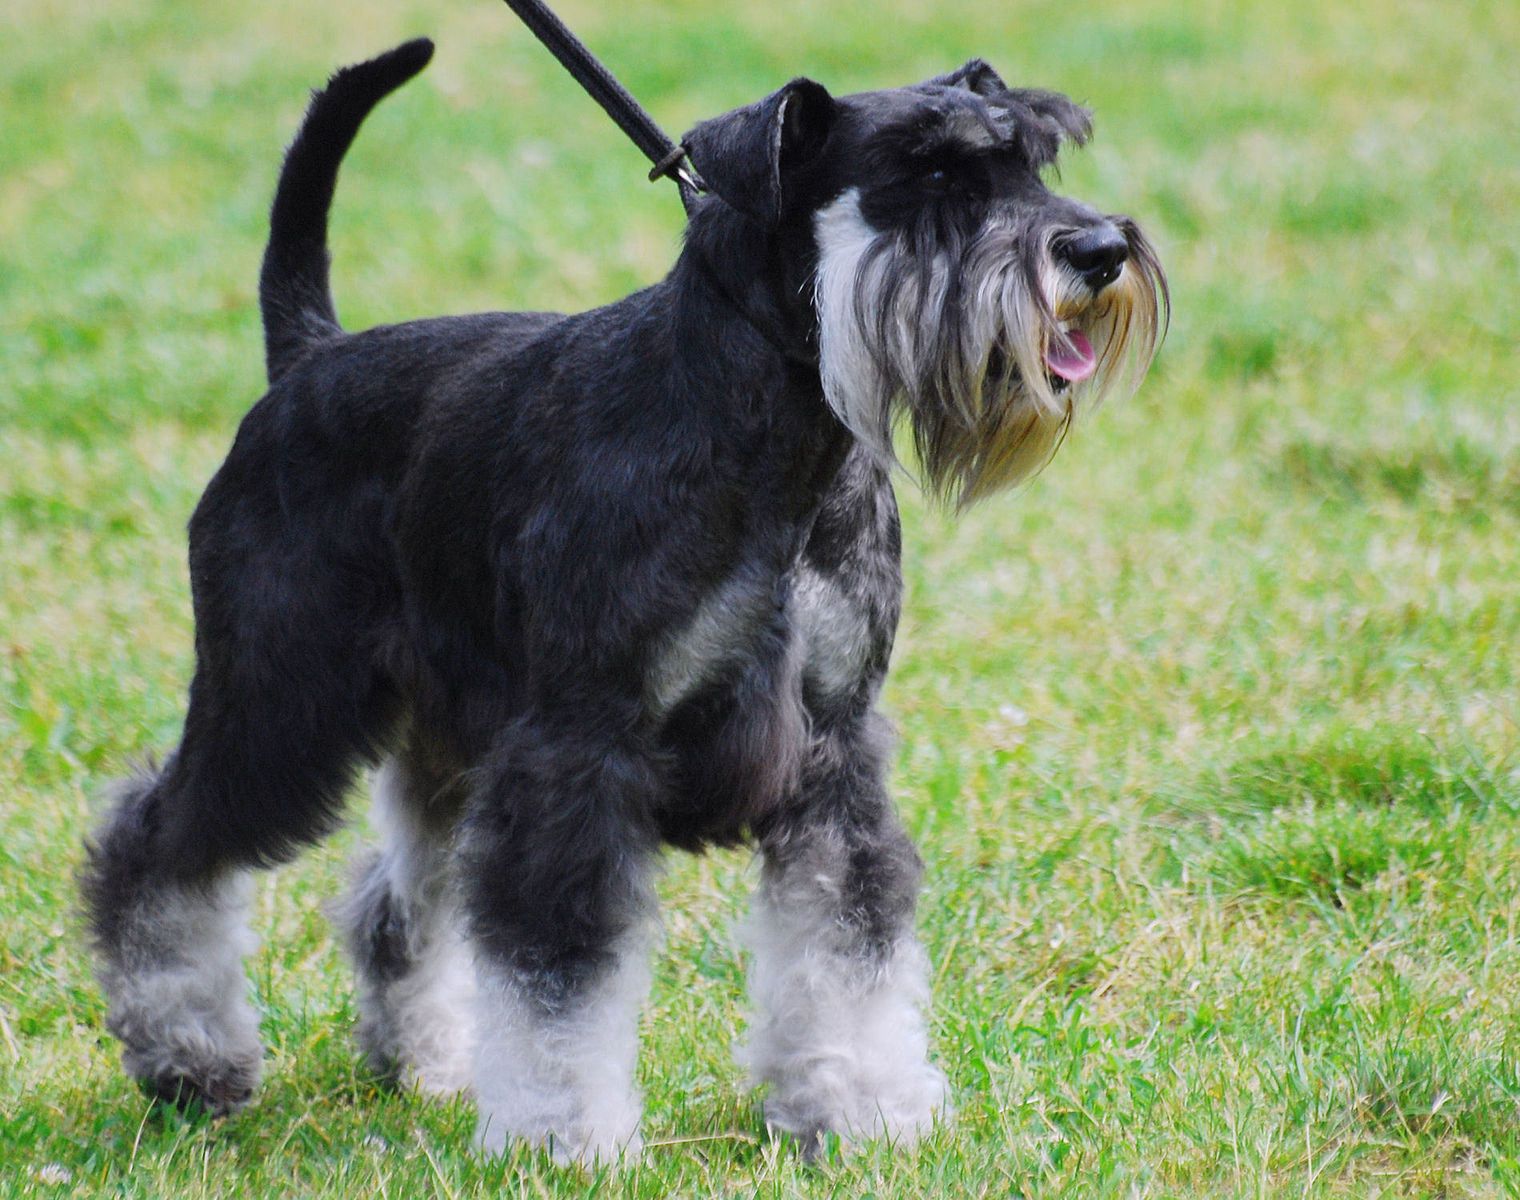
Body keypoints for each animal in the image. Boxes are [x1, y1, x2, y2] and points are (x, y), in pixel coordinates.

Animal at [80, 39, 1161, 1161]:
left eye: (1033, 160)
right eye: (933, 173)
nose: (1097, 250)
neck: (770, 431)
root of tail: (305, 356)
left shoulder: (833, 751)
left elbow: (846, 948)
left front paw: (867, 1107)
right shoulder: (578, 753)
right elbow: (559, 973)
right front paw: (564, 1139)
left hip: (442, 734)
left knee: (398, 899)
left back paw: (423, 1061)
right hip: (280, 702)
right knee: (153, 846)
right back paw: (188, 1055)